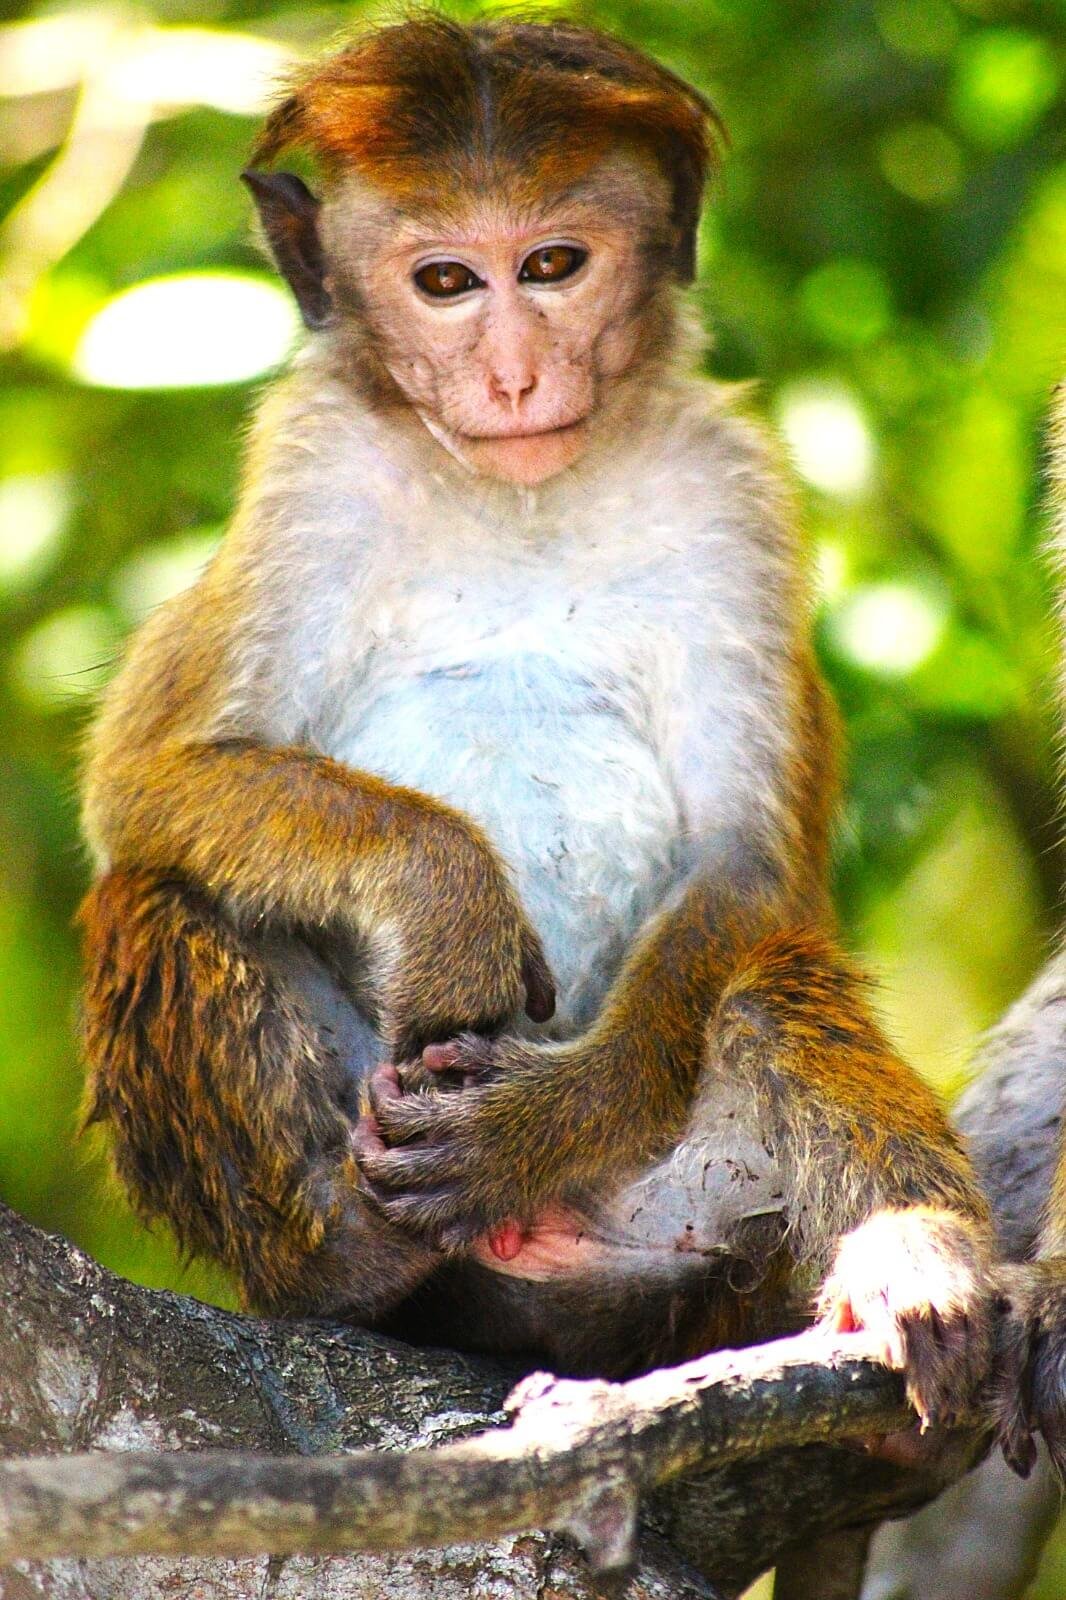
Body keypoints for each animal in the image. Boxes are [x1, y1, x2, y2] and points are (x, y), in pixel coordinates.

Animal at [80, 16, 998, 1441]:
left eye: (554, 265)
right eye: (447, 281)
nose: (514, 375)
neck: (517, 496)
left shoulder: (732, 490)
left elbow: (743, 865)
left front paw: (545, 1120)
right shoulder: (309, 464)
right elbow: (149, 779)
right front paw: (444, 892)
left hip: (697, 1216)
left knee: (763, 990)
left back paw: (914, 1264)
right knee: (153, 891)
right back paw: (352, 1256)